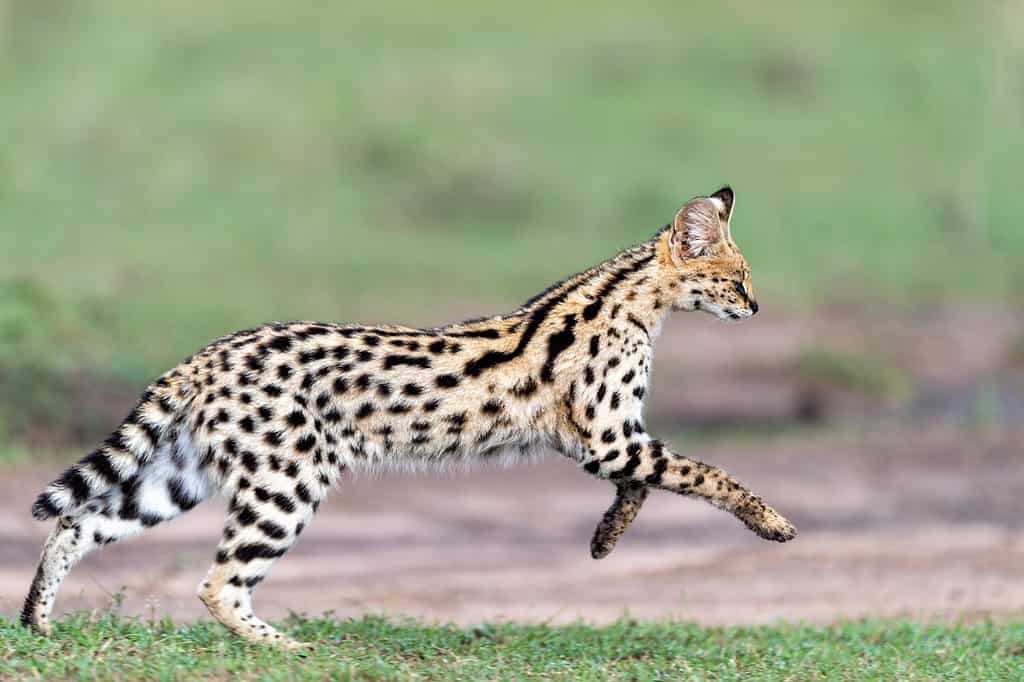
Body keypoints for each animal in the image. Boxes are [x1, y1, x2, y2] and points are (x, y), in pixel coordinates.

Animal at [22, 188, 790, 647]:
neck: (635, 303)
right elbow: (706, 473)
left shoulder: (608, 442)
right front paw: (773, 523)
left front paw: (605, 540)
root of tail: (207, 354)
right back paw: (287, 650)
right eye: (736, 279)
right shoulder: (610, 439)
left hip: (187, 476)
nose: (756, 307)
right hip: (288, 482)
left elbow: (646, 485)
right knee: (216, 583)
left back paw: (36, 624)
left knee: (77, 523)